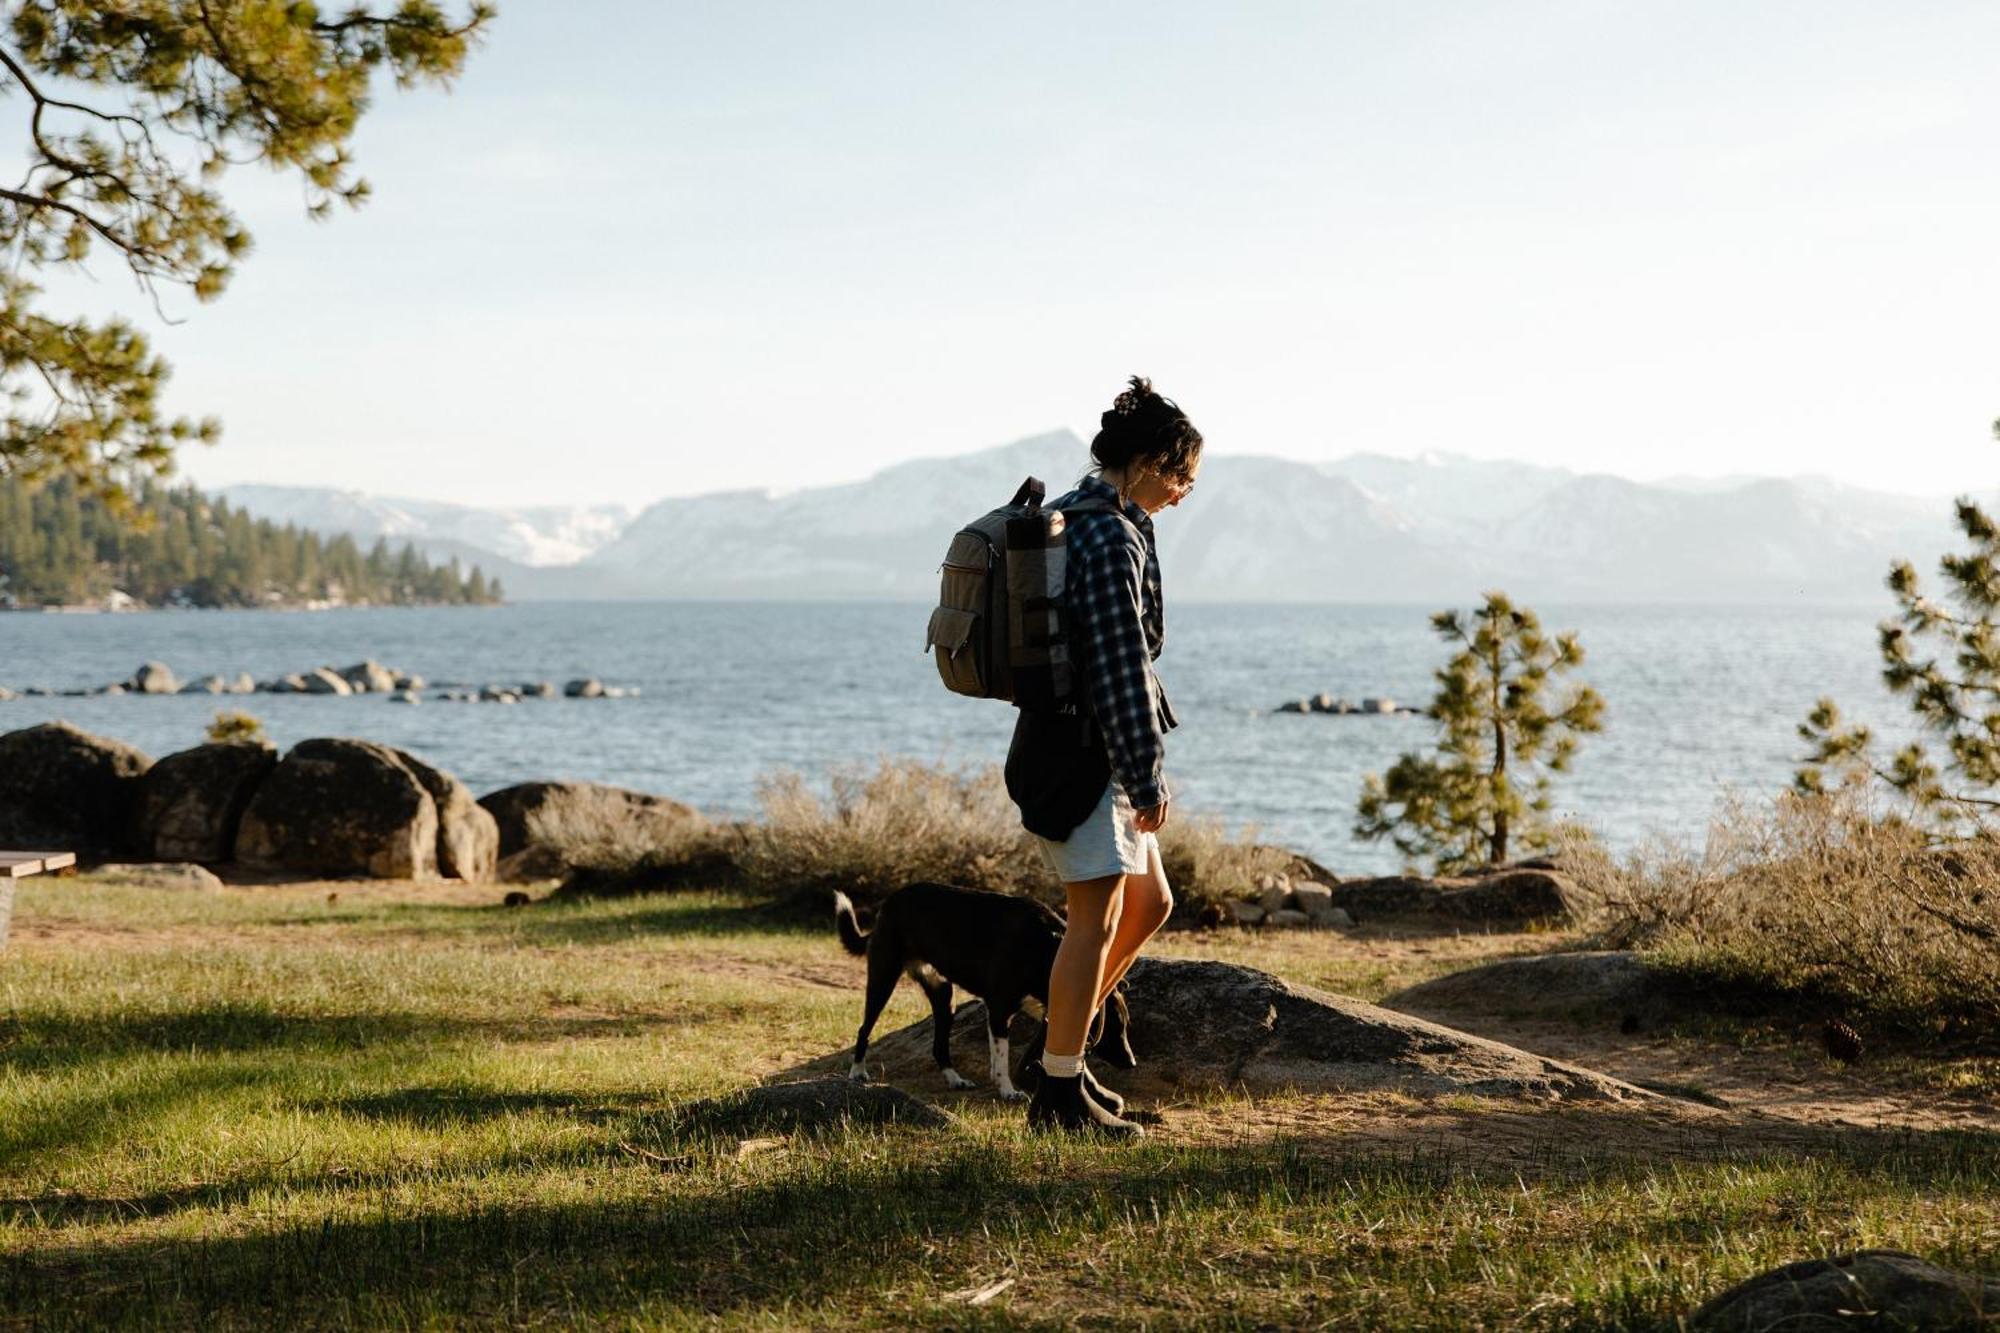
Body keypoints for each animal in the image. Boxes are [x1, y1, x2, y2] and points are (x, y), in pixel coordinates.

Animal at [836, 880, 1136, 1088]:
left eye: (1125, 1026)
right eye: (1114, 1027)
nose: (1132, 1063)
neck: (1047, 949)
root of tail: (888, 904)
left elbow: (1008, 1051)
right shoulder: (1000, 1009)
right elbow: (1002, 1058)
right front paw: (1008, 1090)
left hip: (944, 995)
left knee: (939, 1047)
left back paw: (955, 1080)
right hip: (883, 980)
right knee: (864, 1029)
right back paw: (857, 1072)